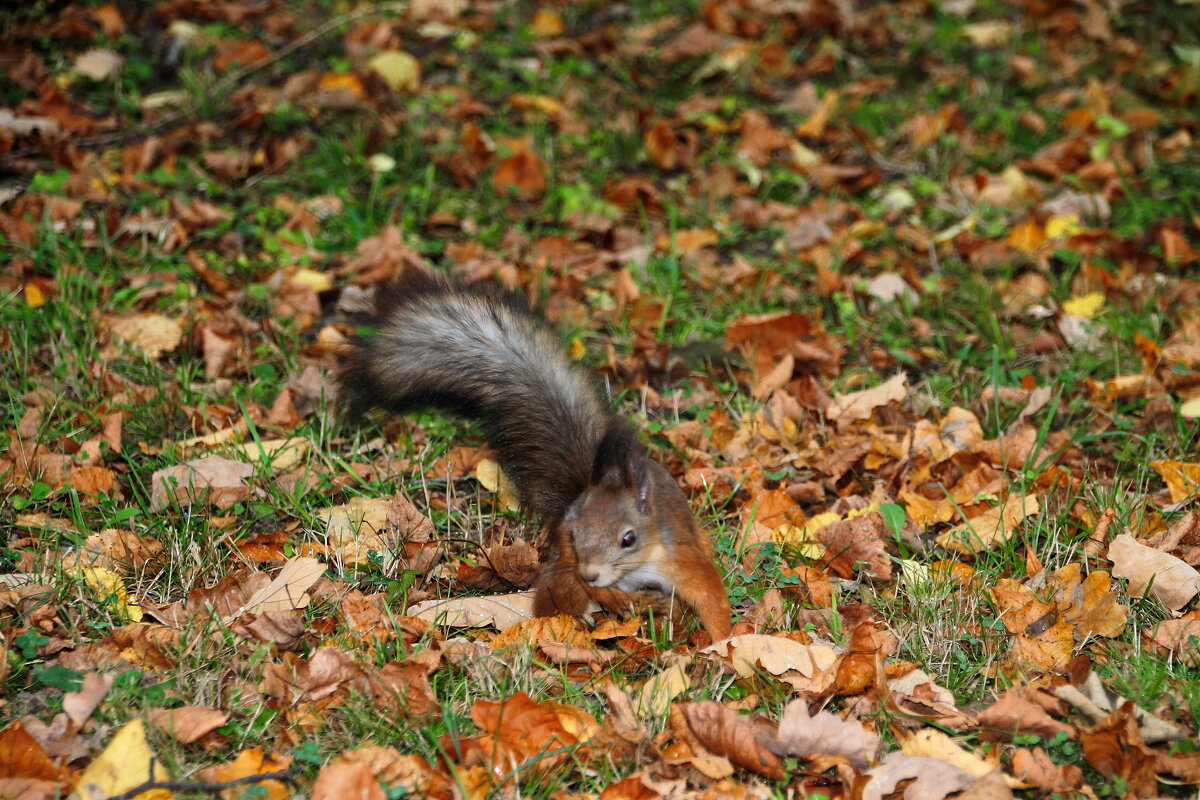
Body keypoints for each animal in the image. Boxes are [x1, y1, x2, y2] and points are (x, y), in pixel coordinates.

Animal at [338, 272, 729, 642]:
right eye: (576, 533)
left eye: (628, 539)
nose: (592, 573)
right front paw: (617, 599)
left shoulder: (680, 559)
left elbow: (711, 597)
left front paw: (723, 643)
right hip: (563, 569)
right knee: (559, 596)